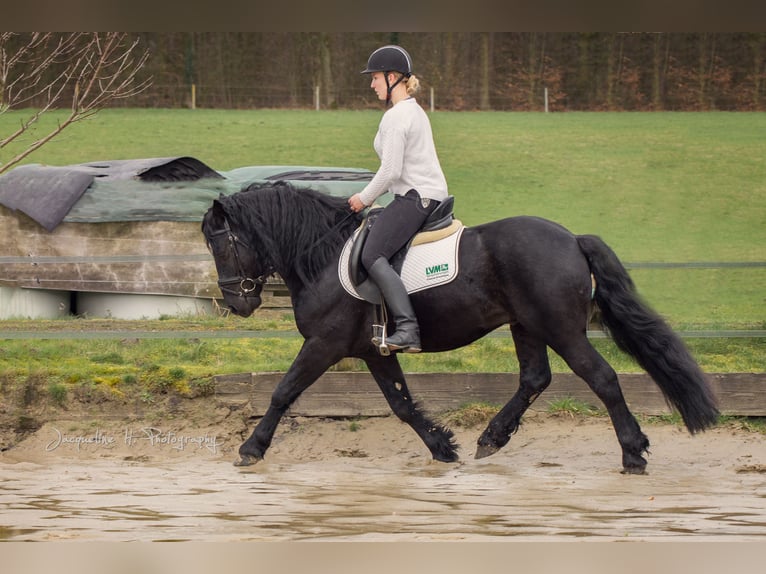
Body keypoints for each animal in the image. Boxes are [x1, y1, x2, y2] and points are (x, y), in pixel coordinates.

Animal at [202, 182, 720, 474]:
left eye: (220, 244)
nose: (237, 302)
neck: (323, 257)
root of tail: (572, 239)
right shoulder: (373, 351)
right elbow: (401, 405)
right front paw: (442, 447)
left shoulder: (324, 344)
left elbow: (282, 392)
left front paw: (251, 448)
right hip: (526, 326)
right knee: (535, 379)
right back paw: (491, 438)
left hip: (562, 329)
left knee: (603, 379)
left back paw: (633, 454)